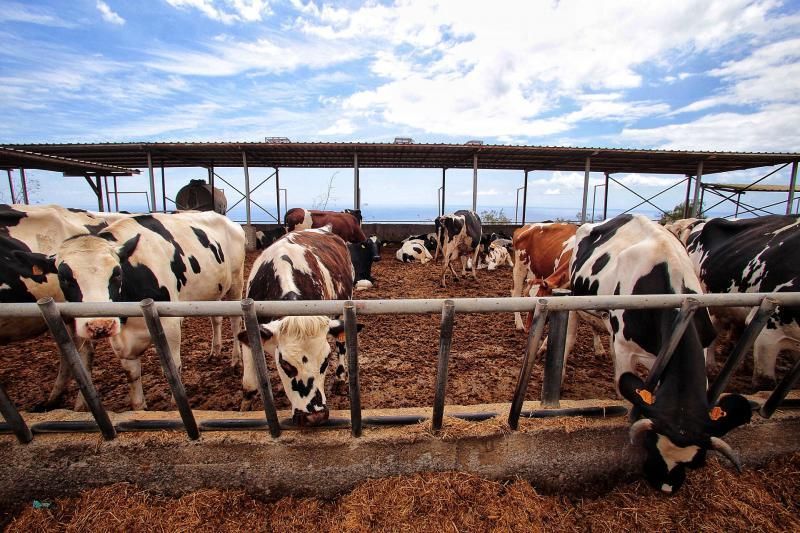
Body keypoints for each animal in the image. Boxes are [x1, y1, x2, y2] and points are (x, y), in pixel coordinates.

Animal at [54, 210, 245, 410]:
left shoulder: (169, 324)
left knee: (235, 322)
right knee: (216, 319)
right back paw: (215, 352)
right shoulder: (121, 340)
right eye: (63, 278)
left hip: (236, 282)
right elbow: (131, 374)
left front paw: (174, 405)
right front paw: (140, 407)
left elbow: (173, 366)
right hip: (213, 290)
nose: (100, 325)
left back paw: (235, 360)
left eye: (116, 273)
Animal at [234, 225, 360, 424]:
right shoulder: (251, 328)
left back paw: (340, 378)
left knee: (341, 344)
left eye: (325, 361)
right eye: (285, 364)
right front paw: (245, 408)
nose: (315, 416)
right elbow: (249, 383)